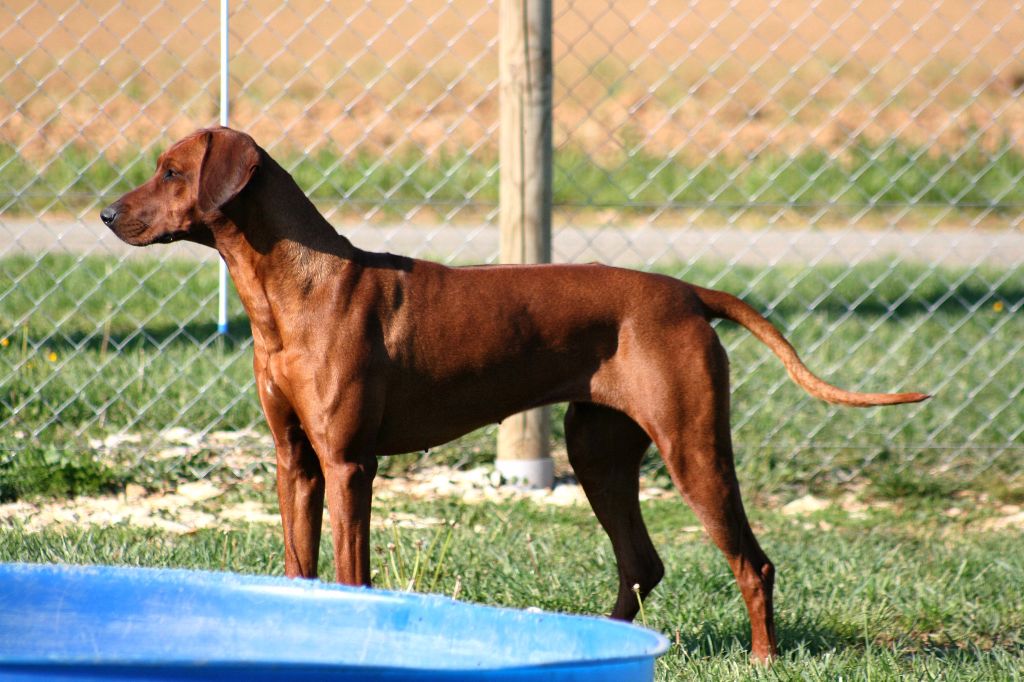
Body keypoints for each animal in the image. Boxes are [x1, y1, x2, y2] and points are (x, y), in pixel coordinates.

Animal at [101, 127, 929, 659]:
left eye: (172, 172)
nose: (106, 213)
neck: (293, 291)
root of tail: (687, 293)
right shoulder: (295, 461)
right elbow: (299, 572)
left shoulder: (349, 464)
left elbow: (351, 574)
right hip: (597, 448)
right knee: (642, 562)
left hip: (693, 448)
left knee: (752, 563)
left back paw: (762, 657)